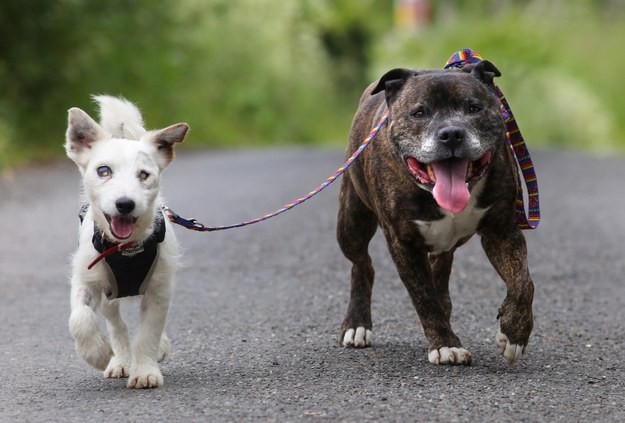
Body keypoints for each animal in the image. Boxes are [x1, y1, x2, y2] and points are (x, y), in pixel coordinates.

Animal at [66, 96, 188, 390]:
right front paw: (97, 353)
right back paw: (119, 359)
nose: (125, 203)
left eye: (144, 175)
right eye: (103, 171)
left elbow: (148, 332)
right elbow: (80, 318)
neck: (126, 249)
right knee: (116, 324)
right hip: (109, 295)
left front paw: (145, 370)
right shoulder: (86, 280)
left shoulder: (159, 290)